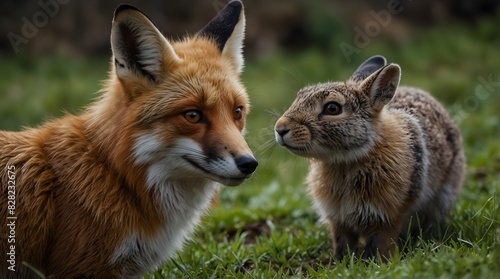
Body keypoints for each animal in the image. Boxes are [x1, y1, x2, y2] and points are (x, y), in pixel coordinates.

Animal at [274, 55, 464, 262]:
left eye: (332, 108)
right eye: (298, 97)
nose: (280, 128)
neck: (346, 161)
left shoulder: (388, 215)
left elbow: (380, 243)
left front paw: (377, 262)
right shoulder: (338, 219)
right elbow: (342, 242)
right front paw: (342, 262)